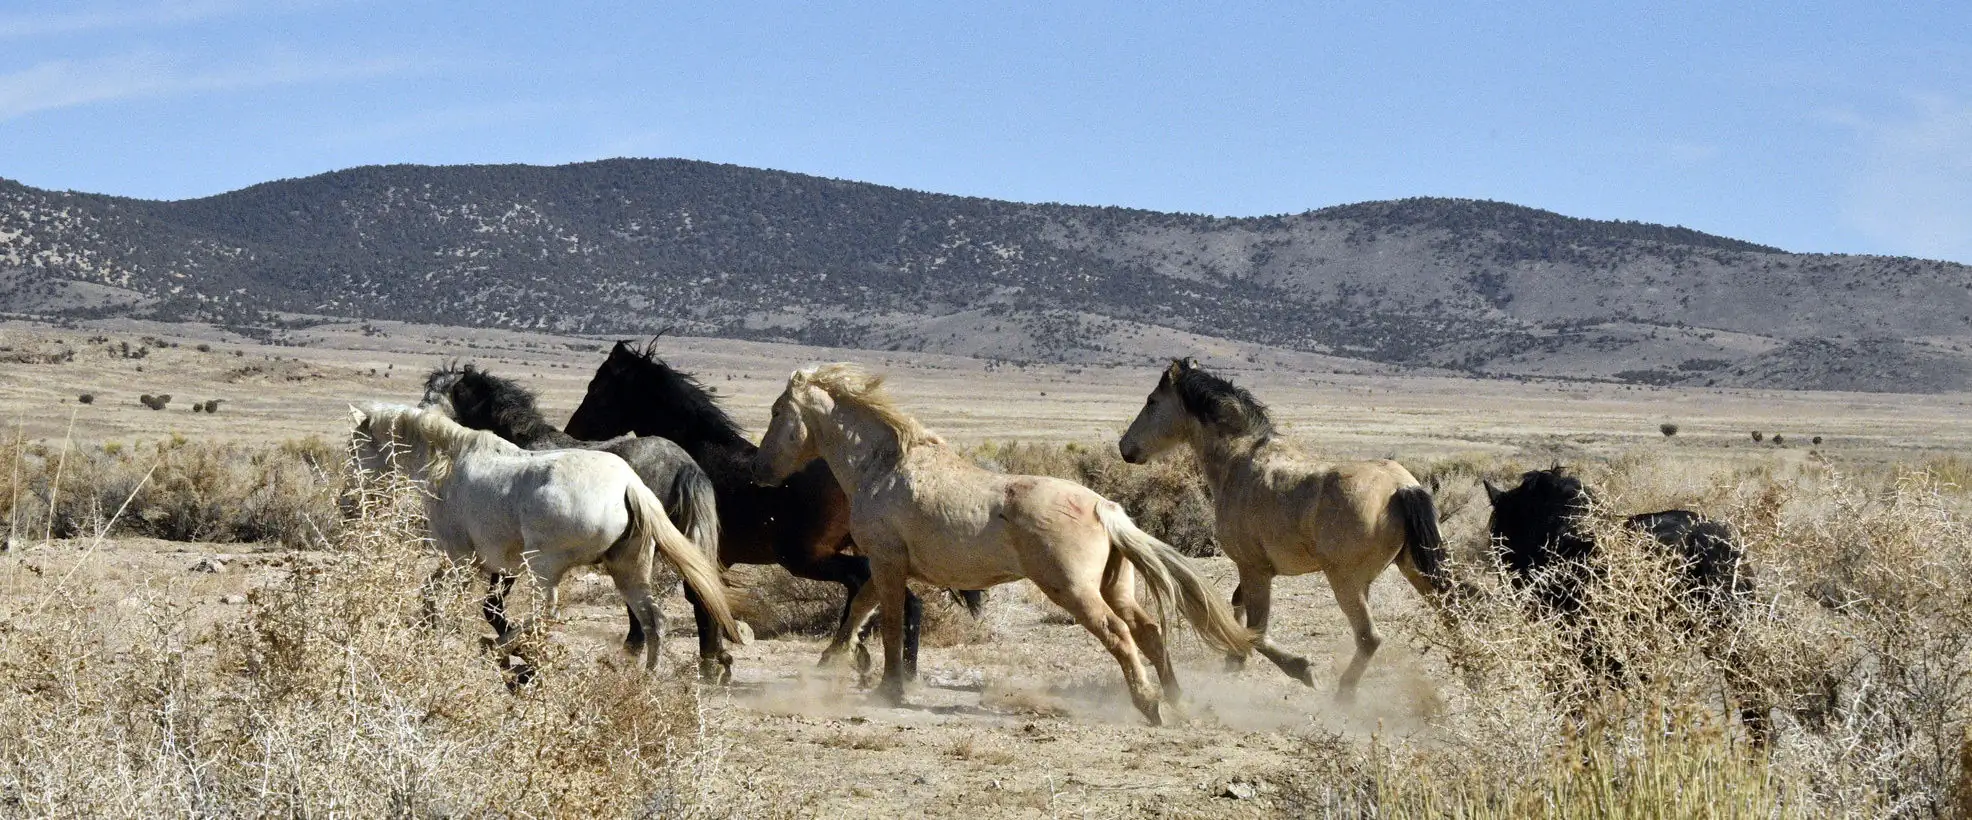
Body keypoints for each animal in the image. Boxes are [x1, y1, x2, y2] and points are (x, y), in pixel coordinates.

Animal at [346, 403, 743, 673]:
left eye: (355, 449)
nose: (348, 504)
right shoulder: (481, 563)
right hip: (628, 569)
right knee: (653, 621)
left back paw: (500, 650)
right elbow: (438, 596)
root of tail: (630, 485)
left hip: (544, 565)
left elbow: (441, 598)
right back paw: (645, 679)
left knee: (547, 612)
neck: (449, 465)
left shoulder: (461, 558)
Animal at [421, 362, 732, 681]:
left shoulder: (510, 555)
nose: (422, 414)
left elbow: (493, 607)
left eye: (438, 393)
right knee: (691, 597)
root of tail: (685, 464)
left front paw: (521, 655)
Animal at [562, 339, 984, 679]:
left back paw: (850, 658)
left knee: (868, 587)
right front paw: (717, 659)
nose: (572, 431)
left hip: (808, 557)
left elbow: (694, 599)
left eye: (598, 387)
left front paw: (707, 663)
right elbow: (703, 598)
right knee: (903, 601)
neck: (694, 455)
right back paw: (897, 672)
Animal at [752, 364, 1251, 726]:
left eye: (777, 411)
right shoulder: (884, 563)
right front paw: (829, 665)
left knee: (1119, 633)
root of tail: (1104, 507)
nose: (759, 470)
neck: (884, 468)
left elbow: (889, 621)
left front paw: (888, 689)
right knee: (1147, 630)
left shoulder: (887, 562)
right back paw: (1179, 701)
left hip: (1074, 591)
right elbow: (860, 610)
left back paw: (1150, 705)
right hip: (1115, 587)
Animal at [1118, 358, 1455, 702]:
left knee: (1369, 637)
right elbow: (1239, 610)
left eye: (1152, 401)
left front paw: (1303, 670)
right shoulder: (1253, 569)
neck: (1237, 462)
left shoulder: (1254, 568)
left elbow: (1257, 632)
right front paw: (1234, 661)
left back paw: (1342, 696)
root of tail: (1402, 487)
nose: (1125, 448)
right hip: (1414, 570)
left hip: (1345, 581)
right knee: (1452, 615)